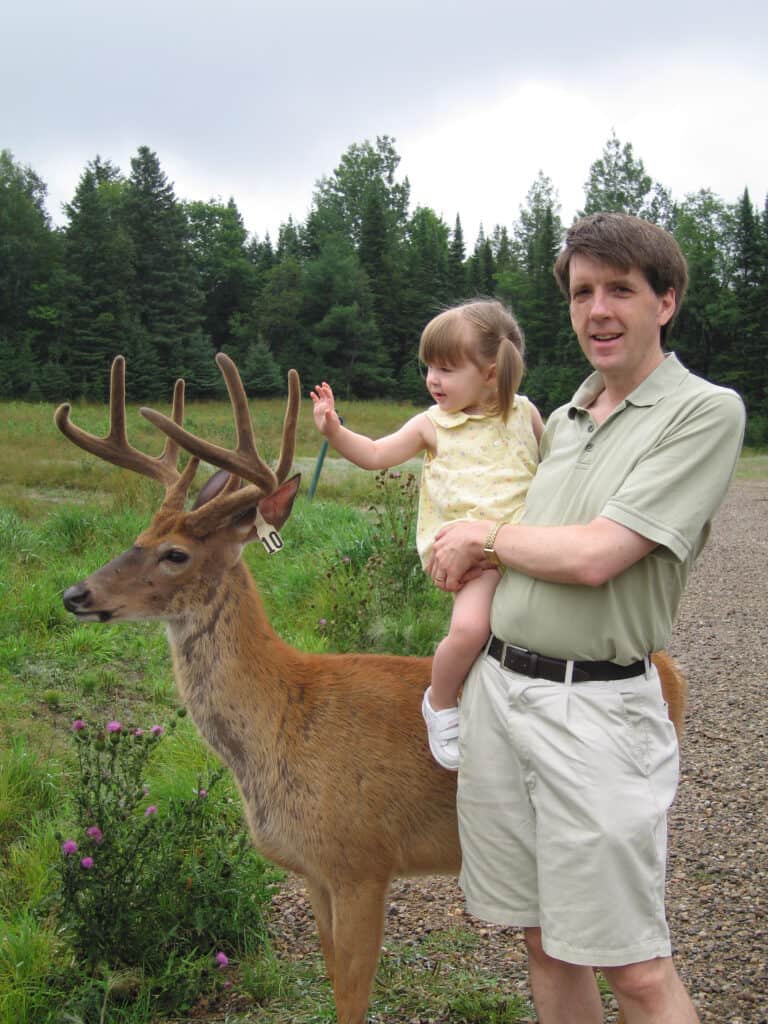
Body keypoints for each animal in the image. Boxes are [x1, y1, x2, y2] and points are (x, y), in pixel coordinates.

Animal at [57, 356, 688, 1024]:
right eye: (139, 535)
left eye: (175, 554)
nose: (76, 594)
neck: (283, 715)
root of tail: (670, 671)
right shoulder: (315, 869)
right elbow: (335, 978)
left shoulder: (363, 860)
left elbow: (353, 996)